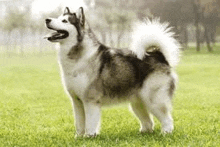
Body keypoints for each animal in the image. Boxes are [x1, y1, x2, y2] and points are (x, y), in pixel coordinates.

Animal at [44, 6, 180, 137]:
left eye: (64, 21)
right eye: (58, 18)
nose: (47, 20)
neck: (77, 56)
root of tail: (159, 55)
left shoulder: (90, 100)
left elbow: (90, 123)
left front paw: (89, 136)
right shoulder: (77, 102)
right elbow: (79, 124)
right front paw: (78, 137)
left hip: (153, 100)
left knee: (167, 119)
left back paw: (165, 133)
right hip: (137, 102)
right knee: (149, 122)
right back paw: (143, 133)